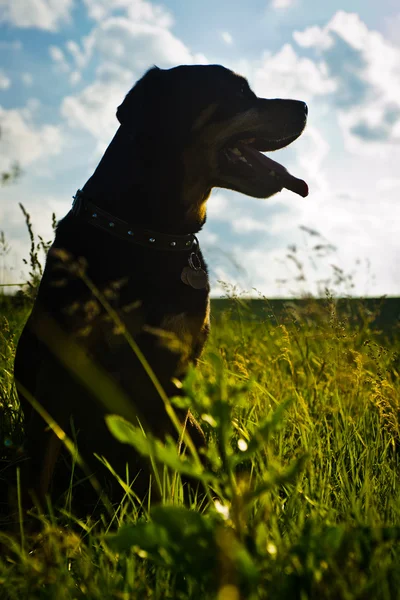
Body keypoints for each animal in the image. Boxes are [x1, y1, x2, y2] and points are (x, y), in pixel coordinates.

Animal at [11, 64, 306, 516]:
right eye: (239, 92)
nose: (305, 106)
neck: (150, 234)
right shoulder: (61, 366)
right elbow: (40, 469)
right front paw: (35, 529)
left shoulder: (171, 372)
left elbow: (174, 459)